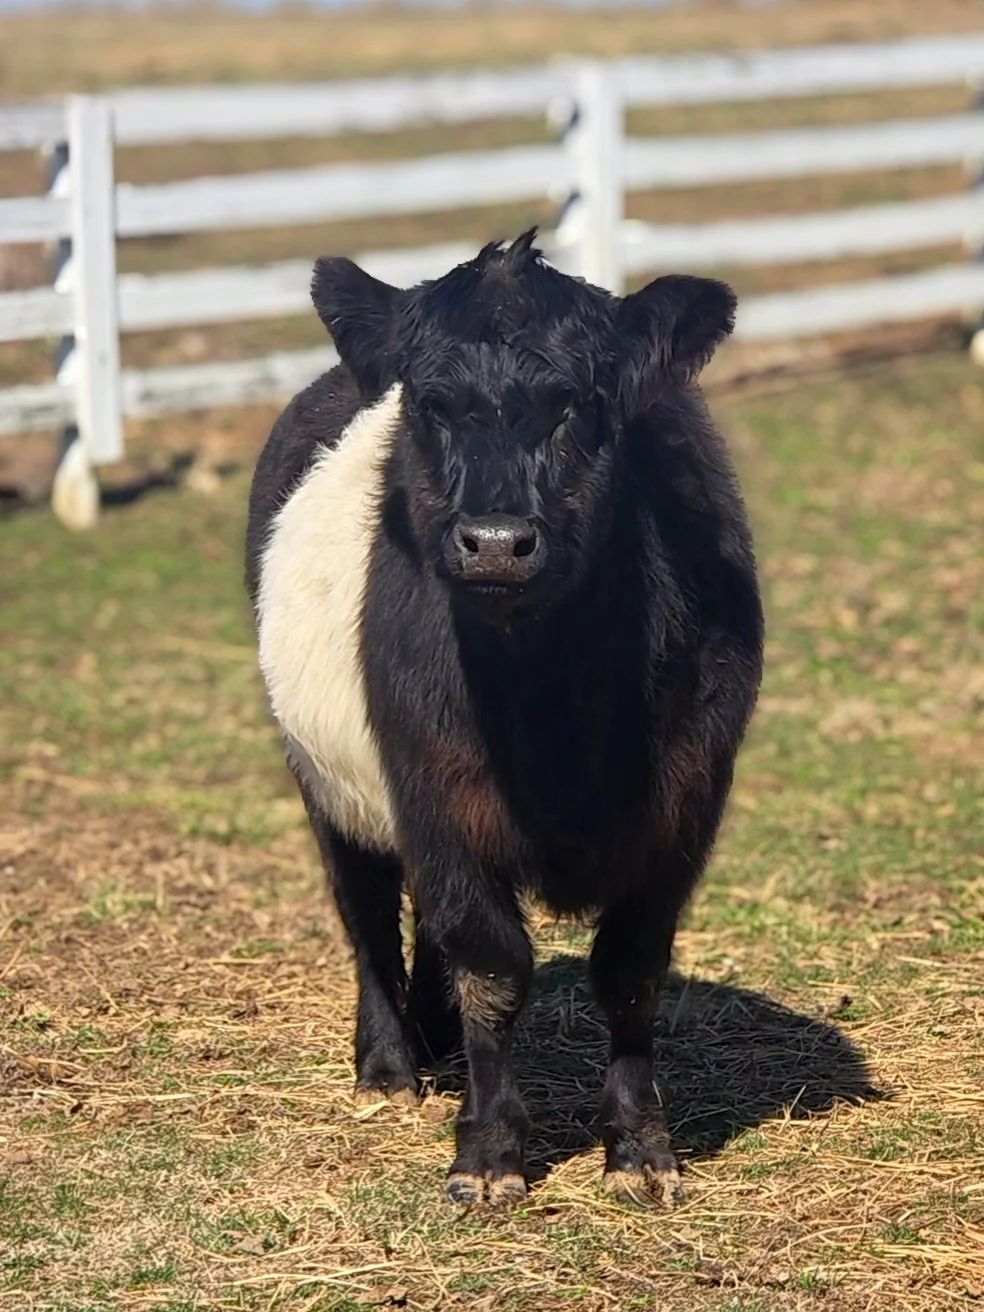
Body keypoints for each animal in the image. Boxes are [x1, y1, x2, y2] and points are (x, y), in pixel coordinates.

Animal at [245, 230, 763, 1209]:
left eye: (576, 404)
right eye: (430, 404)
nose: (493, 543)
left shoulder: (684, 806)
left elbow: (629, 974)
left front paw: (640, 1149)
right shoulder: (437, 790)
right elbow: (493, 968)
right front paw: (488, 1153)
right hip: (323, 778)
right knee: (366, 909)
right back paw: (389, 1065)